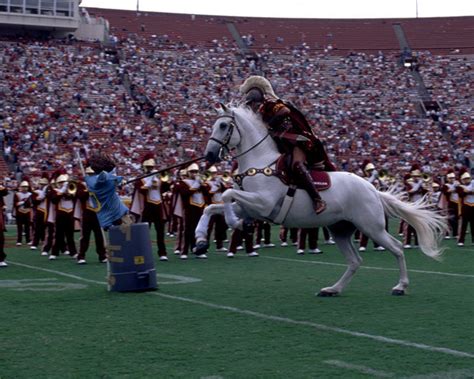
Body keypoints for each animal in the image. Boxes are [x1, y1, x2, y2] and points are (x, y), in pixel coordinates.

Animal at [194, 104, 446, 296]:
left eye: (223, 125)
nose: (209, 155)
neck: (260, 164)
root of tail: (372, 189)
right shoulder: (250, 207)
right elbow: (212, 207)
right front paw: (201, 241)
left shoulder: (263, 203)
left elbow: (226, 195)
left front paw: (235, 224)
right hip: (340, 230)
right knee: (355, 261)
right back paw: (333, 289)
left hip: (371, 227)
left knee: (397, 248)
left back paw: (400, 286)